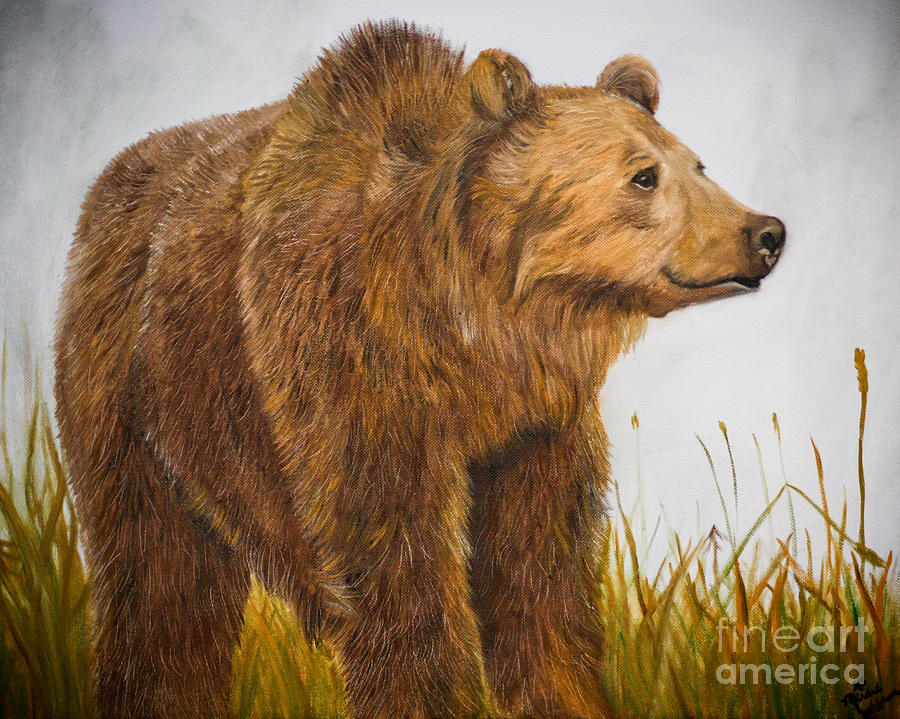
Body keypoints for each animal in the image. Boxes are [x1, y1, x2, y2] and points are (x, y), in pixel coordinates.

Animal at [54, 20, 784, 719]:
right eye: (643, 175)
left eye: (696, 163)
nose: (766, 232)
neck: (474, 328)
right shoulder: (353, 368)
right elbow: (396, 558)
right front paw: (431, 694)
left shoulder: (537, 424)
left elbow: (541, 559)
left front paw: (567, 694)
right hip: (139, 390)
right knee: (158, 578)